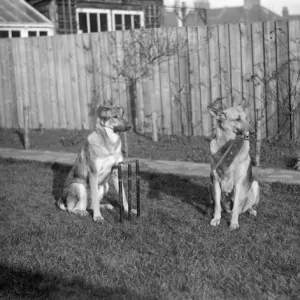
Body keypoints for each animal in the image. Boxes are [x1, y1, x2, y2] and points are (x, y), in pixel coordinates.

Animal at [207, 102, 258, 230]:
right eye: (237, 119)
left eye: (246, 118)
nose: (253, 132)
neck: (227, 147)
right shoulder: (216, 180)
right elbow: (217, 206)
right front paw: (216, 219)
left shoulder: (238, 183)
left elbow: (236, 207)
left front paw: (234, 223)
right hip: (210, 185)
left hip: (254, 184)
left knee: (245, 207)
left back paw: (251, 211)